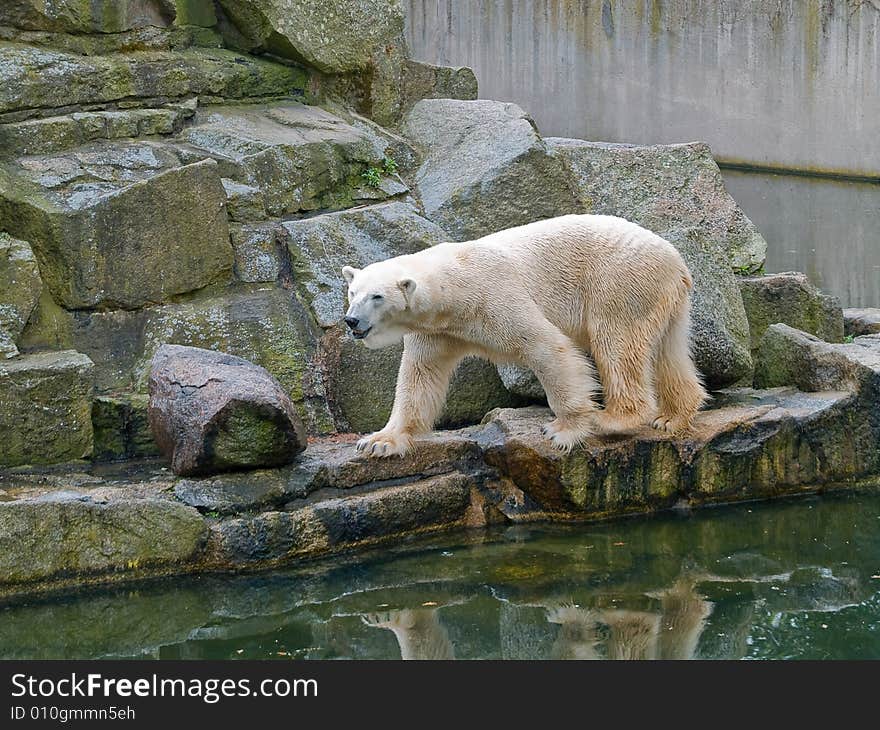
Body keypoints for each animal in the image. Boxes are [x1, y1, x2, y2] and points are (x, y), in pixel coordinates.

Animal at [340, 212, 704, 456]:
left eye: (377, 296)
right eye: (353, 292)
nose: (351, 321)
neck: (453, 289)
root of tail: (677, 262)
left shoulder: (494, 296)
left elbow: (548, 347)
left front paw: (564, 430)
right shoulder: (437, 331)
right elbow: (419, 376)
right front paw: (378, 441)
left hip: (620, 282)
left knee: (616, 342)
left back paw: (614, 418)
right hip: (664, 299)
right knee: (668, 351)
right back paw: (671, 418)